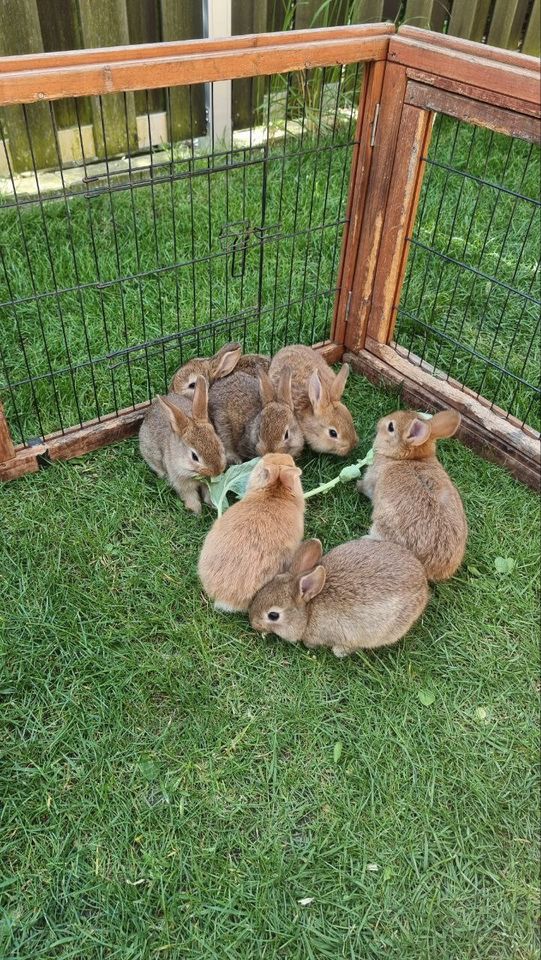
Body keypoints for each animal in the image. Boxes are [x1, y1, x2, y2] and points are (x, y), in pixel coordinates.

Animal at [139, 376, 226, 512]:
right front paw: (196, 510)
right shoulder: (181, 482)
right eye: (194, 457)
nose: (217, 471)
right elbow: (189, 495)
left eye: (218, 444)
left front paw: (211, 503)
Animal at [356, 408, 466, 580]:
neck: (407, 458)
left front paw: (357, 485)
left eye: (391, 427)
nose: (380, 422)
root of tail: (430, 568)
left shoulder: (372, 480)